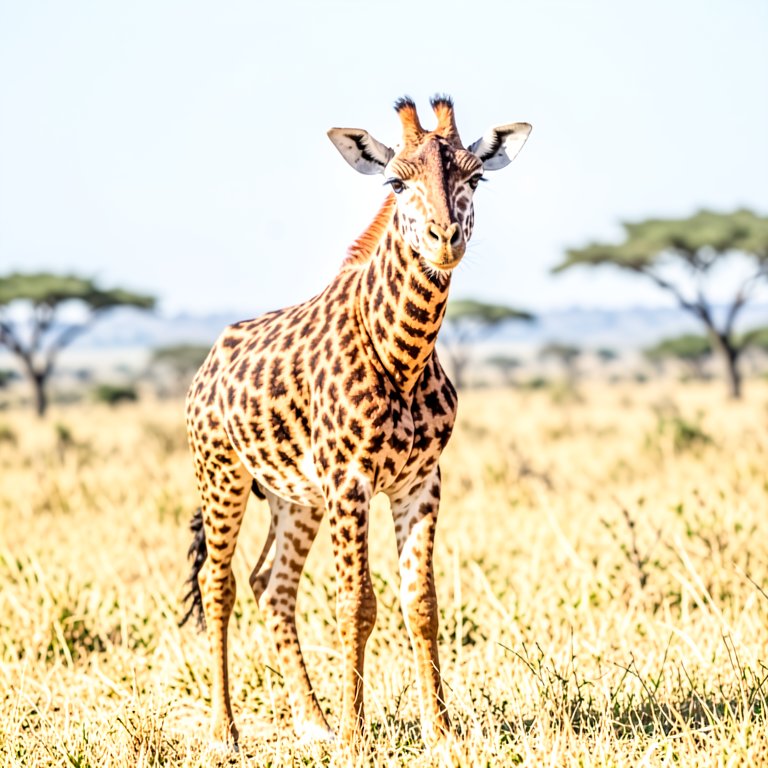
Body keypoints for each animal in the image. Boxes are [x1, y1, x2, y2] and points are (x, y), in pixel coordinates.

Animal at [181, 95, 531, 748]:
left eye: (476, 178)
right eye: (396, 181)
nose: (444, 239)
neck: (404, 354)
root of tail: (209, 362)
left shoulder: (420, 481)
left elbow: (421, 603)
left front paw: (439, 730)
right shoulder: (350, 482)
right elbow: (357, 604)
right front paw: (354, 733)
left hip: (294, 496)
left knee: (272, 585)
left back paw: (310, 722)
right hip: (222, 476)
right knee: (221, 587)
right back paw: (226, 731)